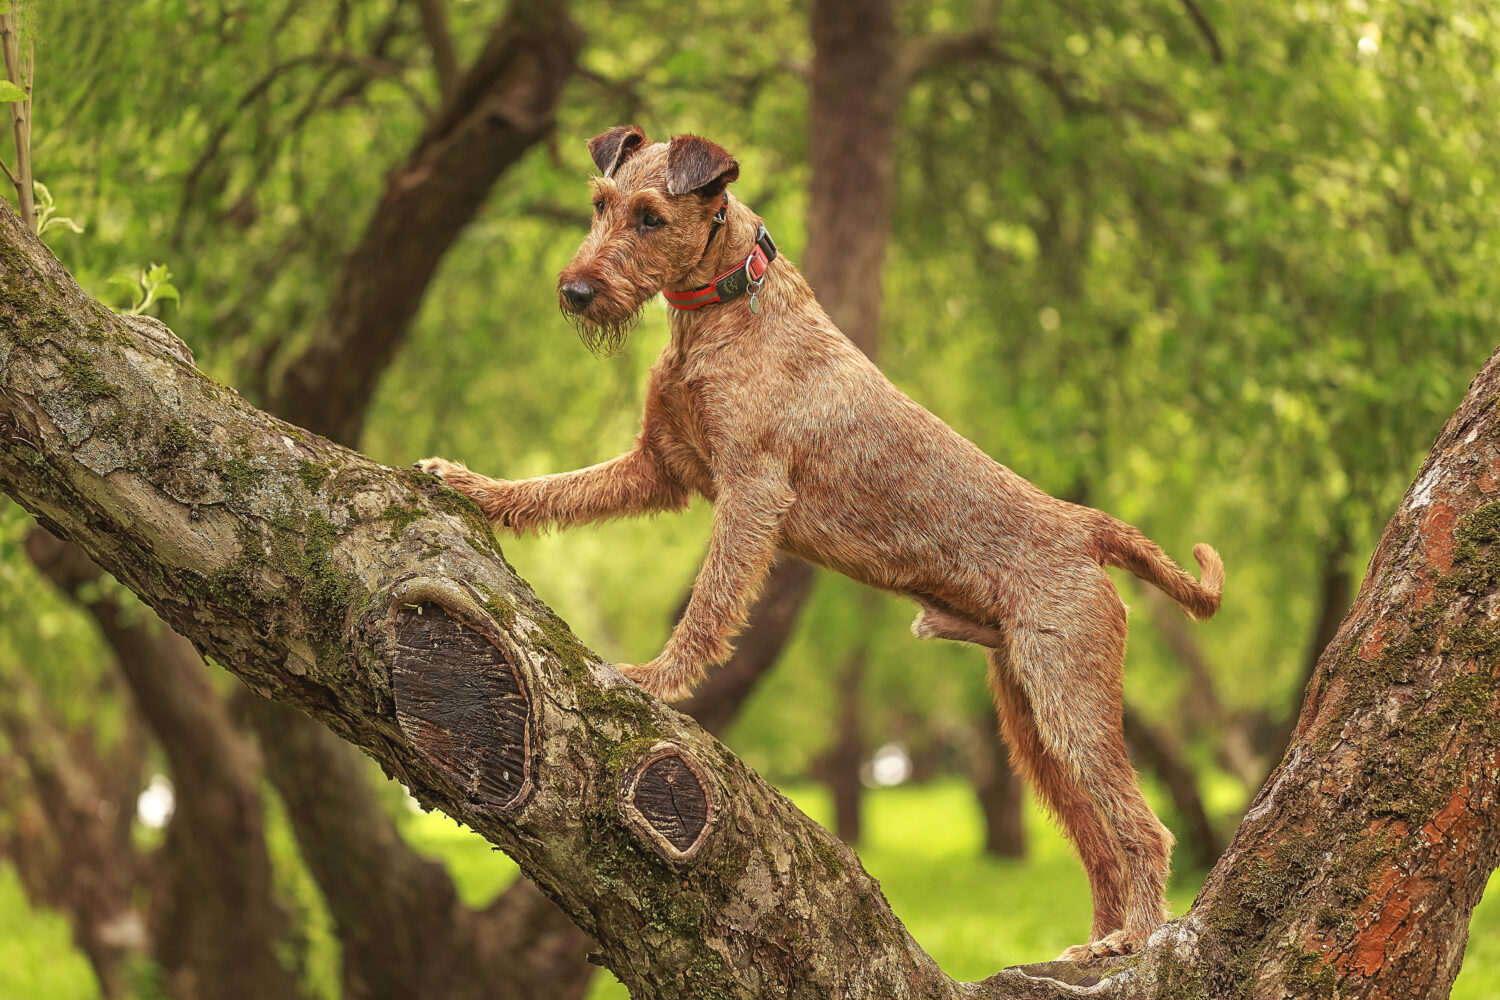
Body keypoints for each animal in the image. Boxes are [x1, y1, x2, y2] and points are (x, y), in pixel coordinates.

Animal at [411, 127, 1218, 959]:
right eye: (600, 204)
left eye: (650, 218)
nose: (574, 291)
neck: (729, 306)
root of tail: (1084, 524)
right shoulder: (659, 467)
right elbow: (553, 489)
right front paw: (469, 485)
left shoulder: (750, 490)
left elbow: (709, 601)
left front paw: (660, 678)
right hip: (1030, 722)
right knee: (1097, 840)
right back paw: (1098, 942)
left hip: (1069, 700)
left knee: (1144, 827)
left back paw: (1138, 938)